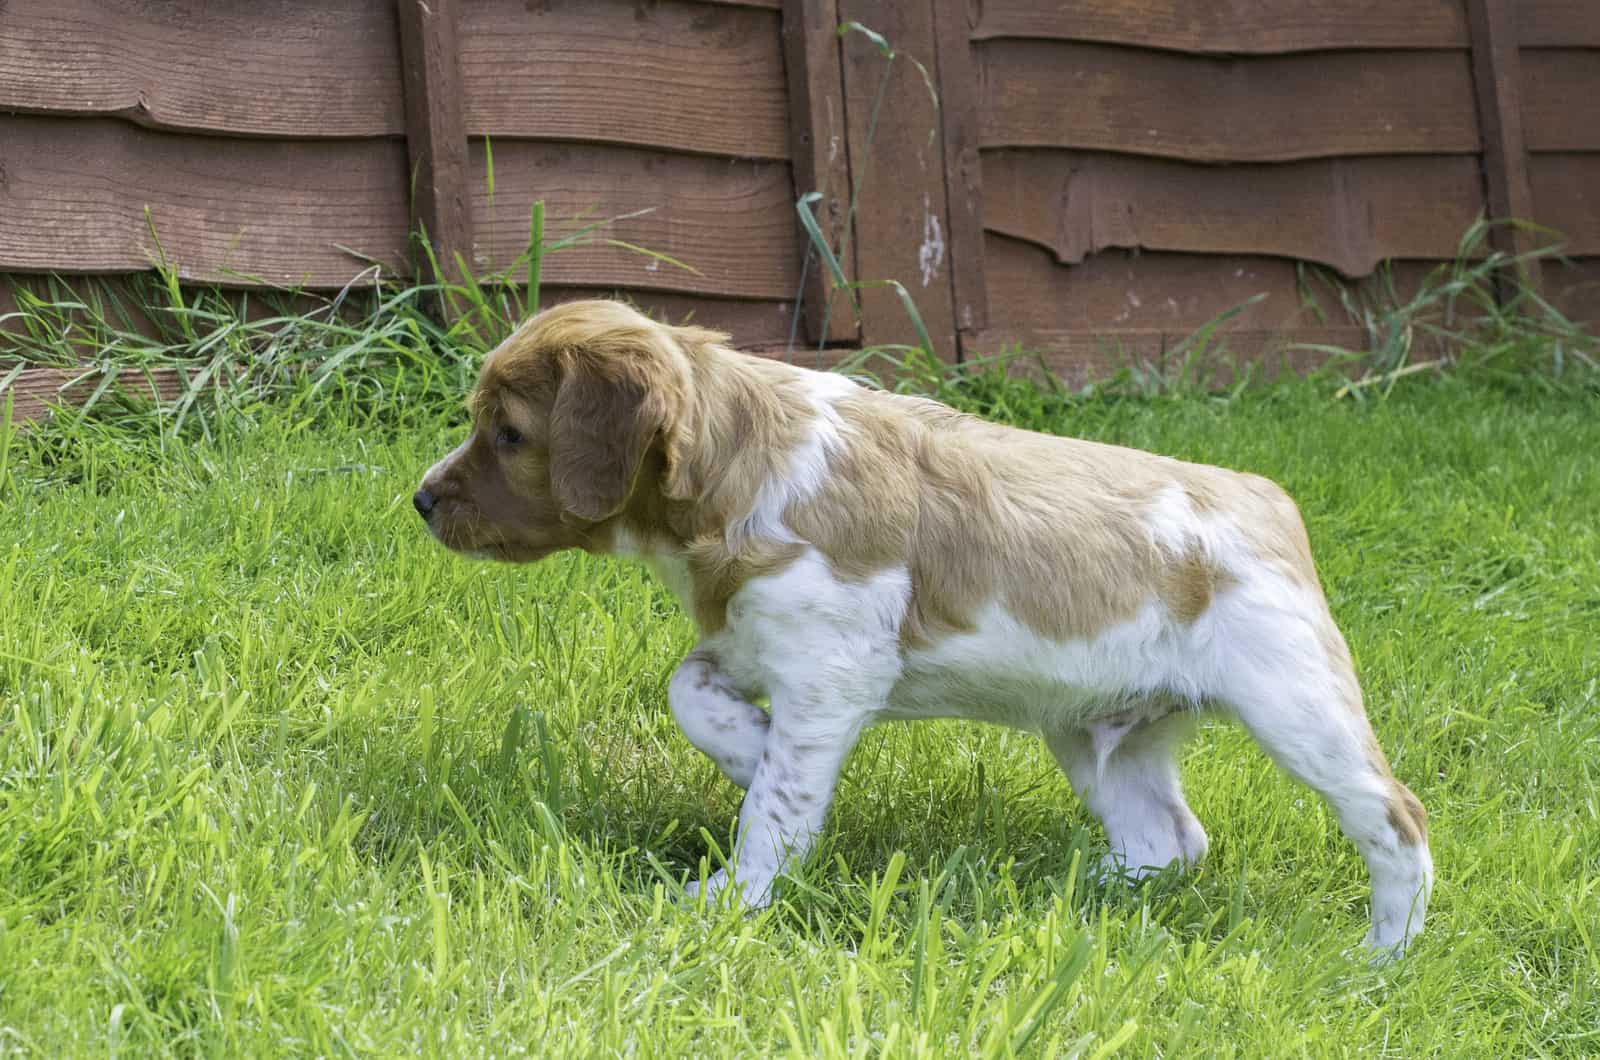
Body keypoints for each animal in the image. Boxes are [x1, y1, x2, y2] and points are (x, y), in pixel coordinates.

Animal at [416, 299, 1440, 954]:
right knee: (1169, 844)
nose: (420, 500)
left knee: (1396, 819)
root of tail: (1269, 499)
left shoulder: (832, 672)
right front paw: (747, 750)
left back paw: (1381, 956)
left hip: (1297, 705)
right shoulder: (751, 640)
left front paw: (739, 896)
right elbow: (691, 693)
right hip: (1101, 735)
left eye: (508, 434)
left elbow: (781, 808)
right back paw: (1053, 899)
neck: (744, 467)